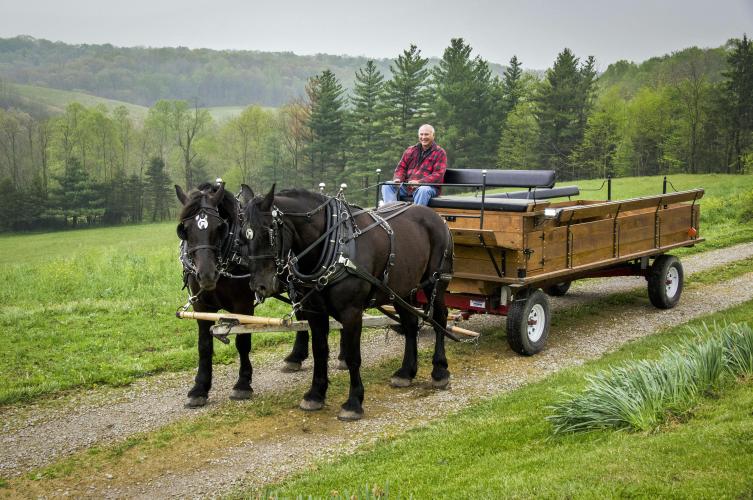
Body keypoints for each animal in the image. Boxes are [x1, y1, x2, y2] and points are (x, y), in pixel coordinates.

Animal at [176, 182, 324, 408]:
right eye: (184, 229)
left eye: (219, 228)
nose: (207, 274)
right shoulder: (200, 306)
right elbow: (204, 346)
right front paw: (200, 388)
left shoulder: (243, 305)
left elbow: (242, 342)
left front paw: (243, 384)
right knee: (302, 316)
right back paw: (295, 357)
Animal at [241, 186, 452, 420]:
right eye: (242, 235)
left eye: (268, 232)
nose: (259, 286)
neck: (335, 246)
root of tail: (436, 216)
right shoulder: (315, 312)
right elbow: (320, 352)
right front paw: (315, 394)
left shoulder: (352, 312)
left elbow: (352, 356)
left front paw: (354, 402)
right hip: (401, 289)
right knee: (410, 324)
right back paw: (406, 372)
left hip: (435, 282)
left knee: (439, 319)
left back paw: (440, 370)